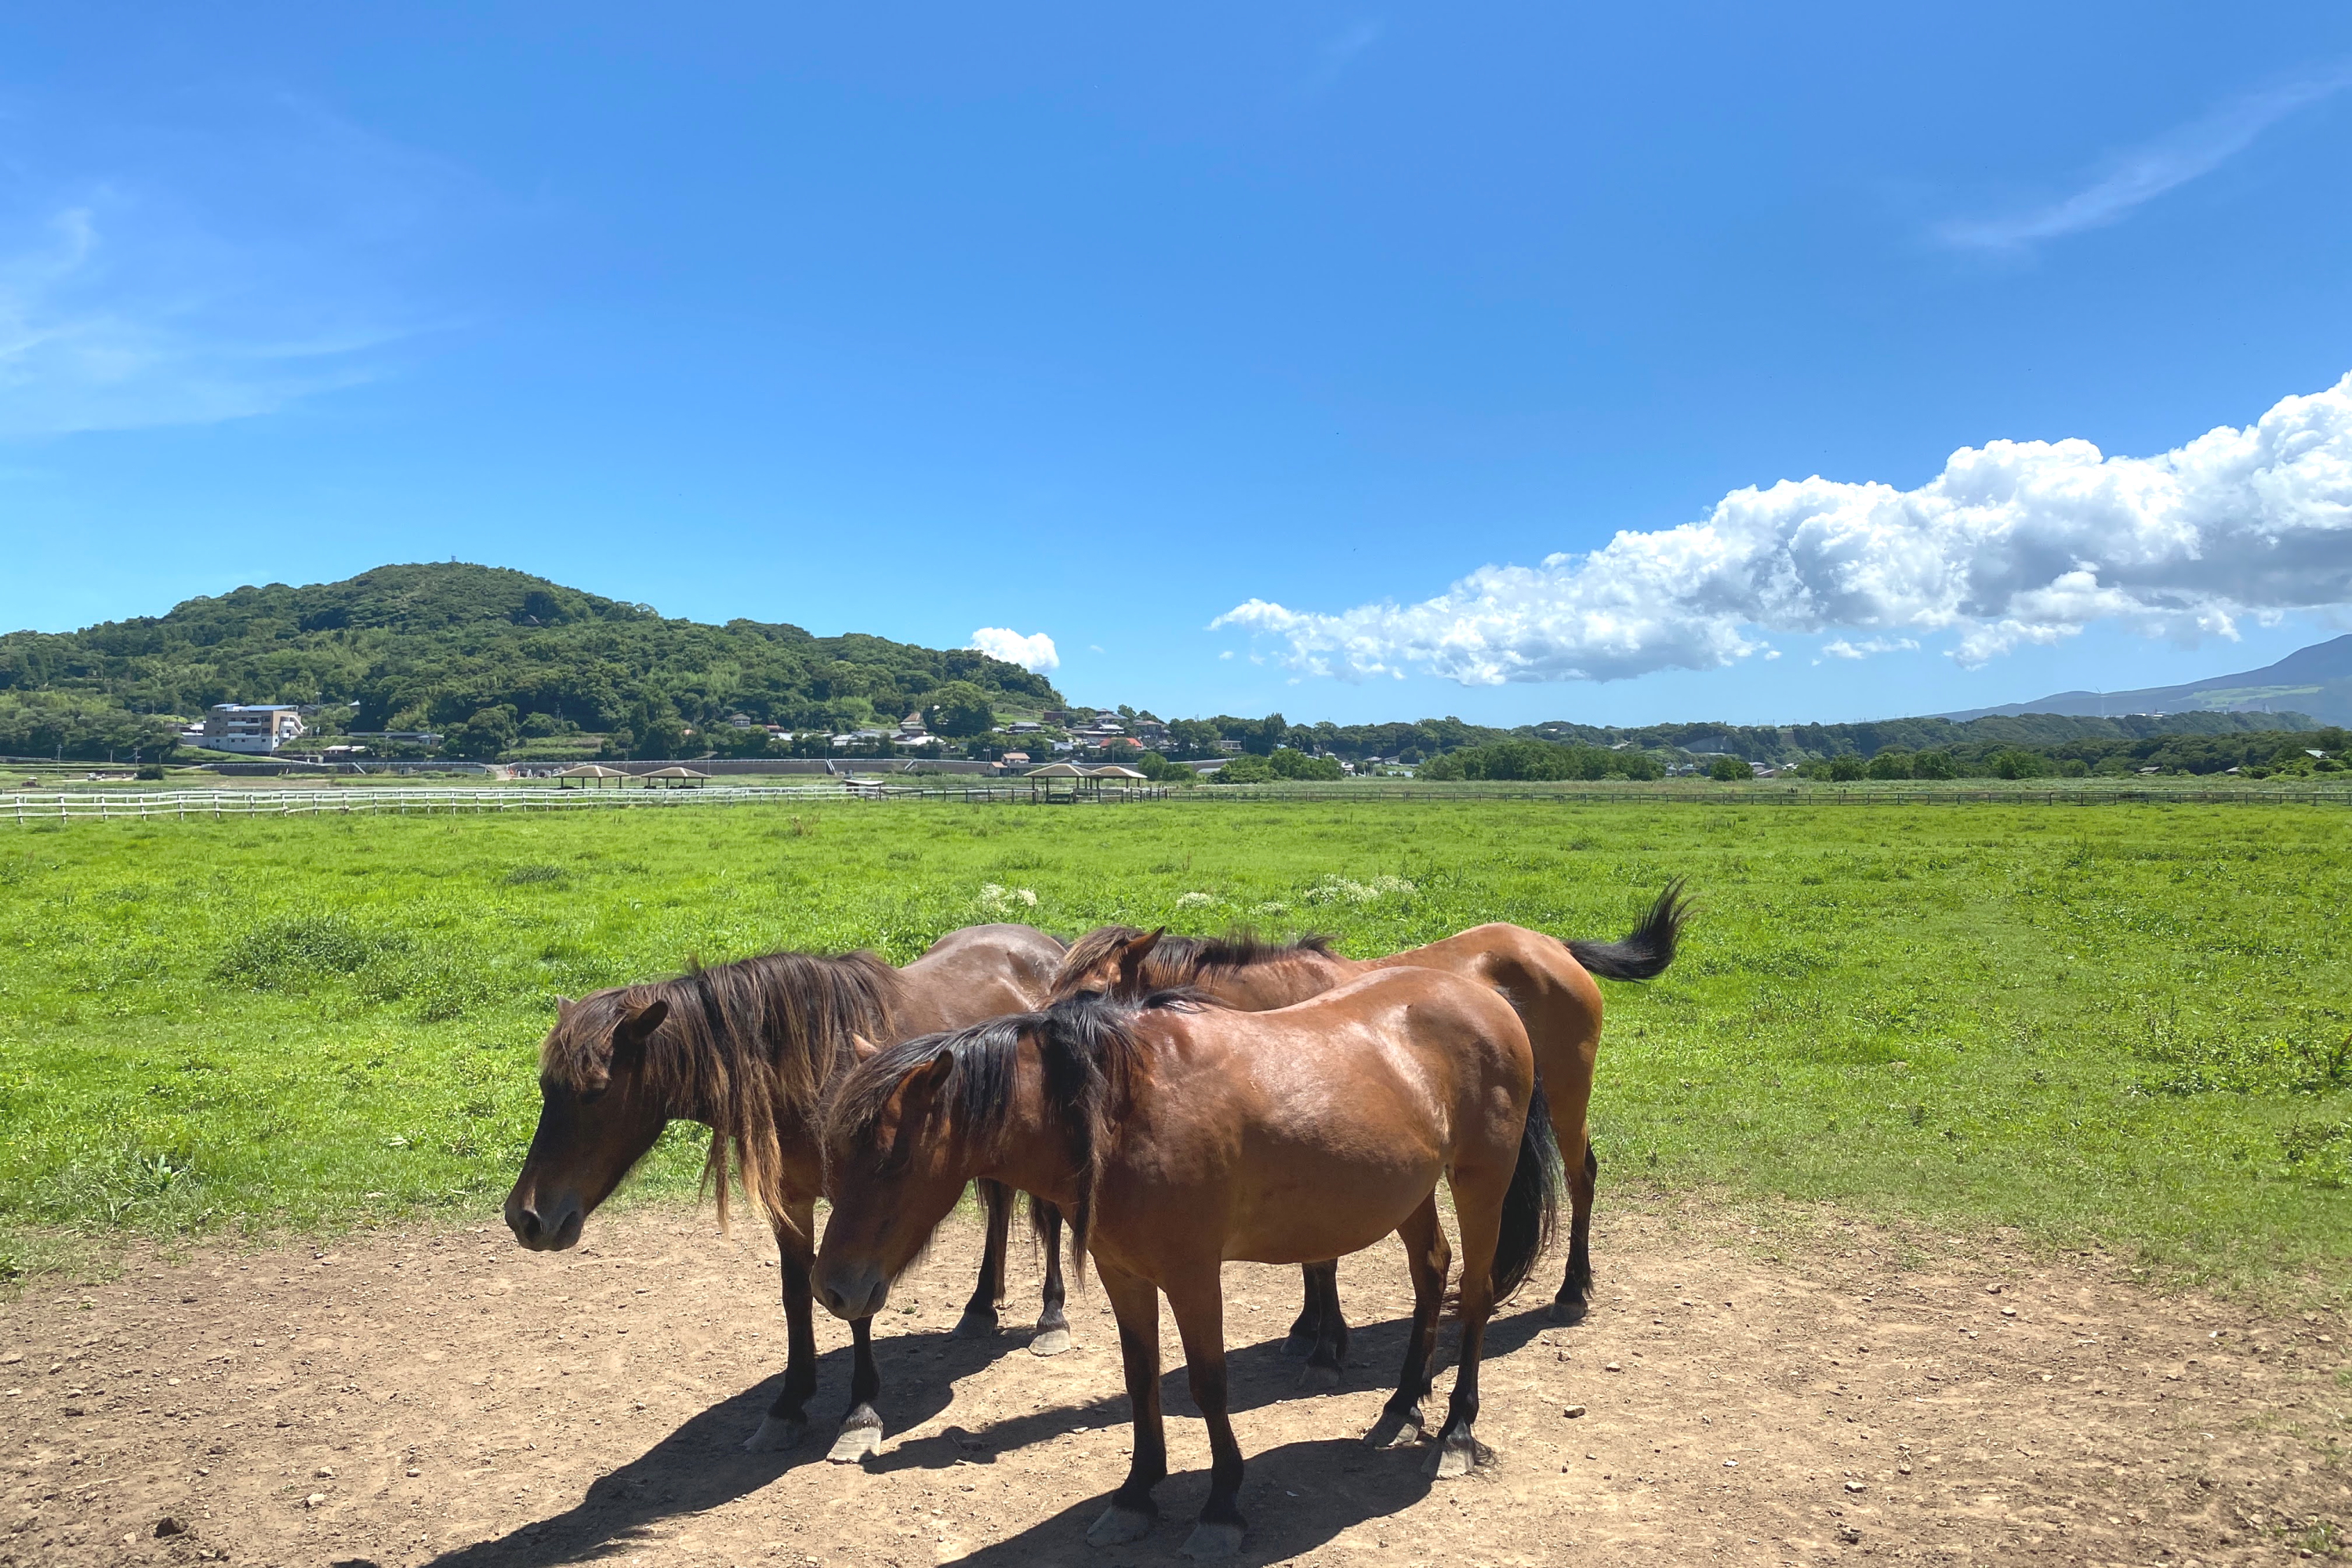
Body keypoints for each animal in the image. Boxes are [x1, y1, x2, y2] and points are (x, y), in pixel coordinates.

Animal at [515, 926, 1077, 1467]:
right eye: (545, 1087)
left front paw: (860, 1415)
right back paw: (980, 1307)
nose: (526, 1217)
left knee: (1048, 1216)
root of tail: (1047, 947)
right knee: (999, 1205)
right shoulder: (792, 1203)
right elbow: (796, 1294)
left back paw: (1051, 1319)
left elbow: (856, 1306)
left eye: (596, 1091)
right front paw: (788, 1406)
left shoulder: (860, 1211)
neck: (813, 1072)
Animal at [814, 973, 1562, 1561]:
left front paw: (1221, 1507)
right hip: (1410, 1191)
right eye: (835, 1153)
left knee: (1475, 1295)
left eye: (894, 1159)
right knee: (1432, 1273)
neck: (1119, 1111)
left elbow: (1208, 1386)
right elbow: (1140, 1378)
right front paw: (1136, 1495)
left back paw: (1457, 1432)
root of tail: (1486, 998)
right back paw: (1401, 1407)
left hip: (1480, 1181)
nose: (835, 1289)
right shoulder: (1124, 1273)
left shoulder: (1193, 1274)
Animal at [1040, 884, 1684, 1382]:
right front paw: (1309, 1328)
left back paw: (1572, 1291)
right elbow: (1311, 1256)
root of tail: (1557, 947)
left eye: (1091, 994)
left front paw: (1326, 1347)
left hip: (1570, 1104)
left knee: (1582, 1180)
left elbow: (1323, 1262)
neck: (1269, 1008)